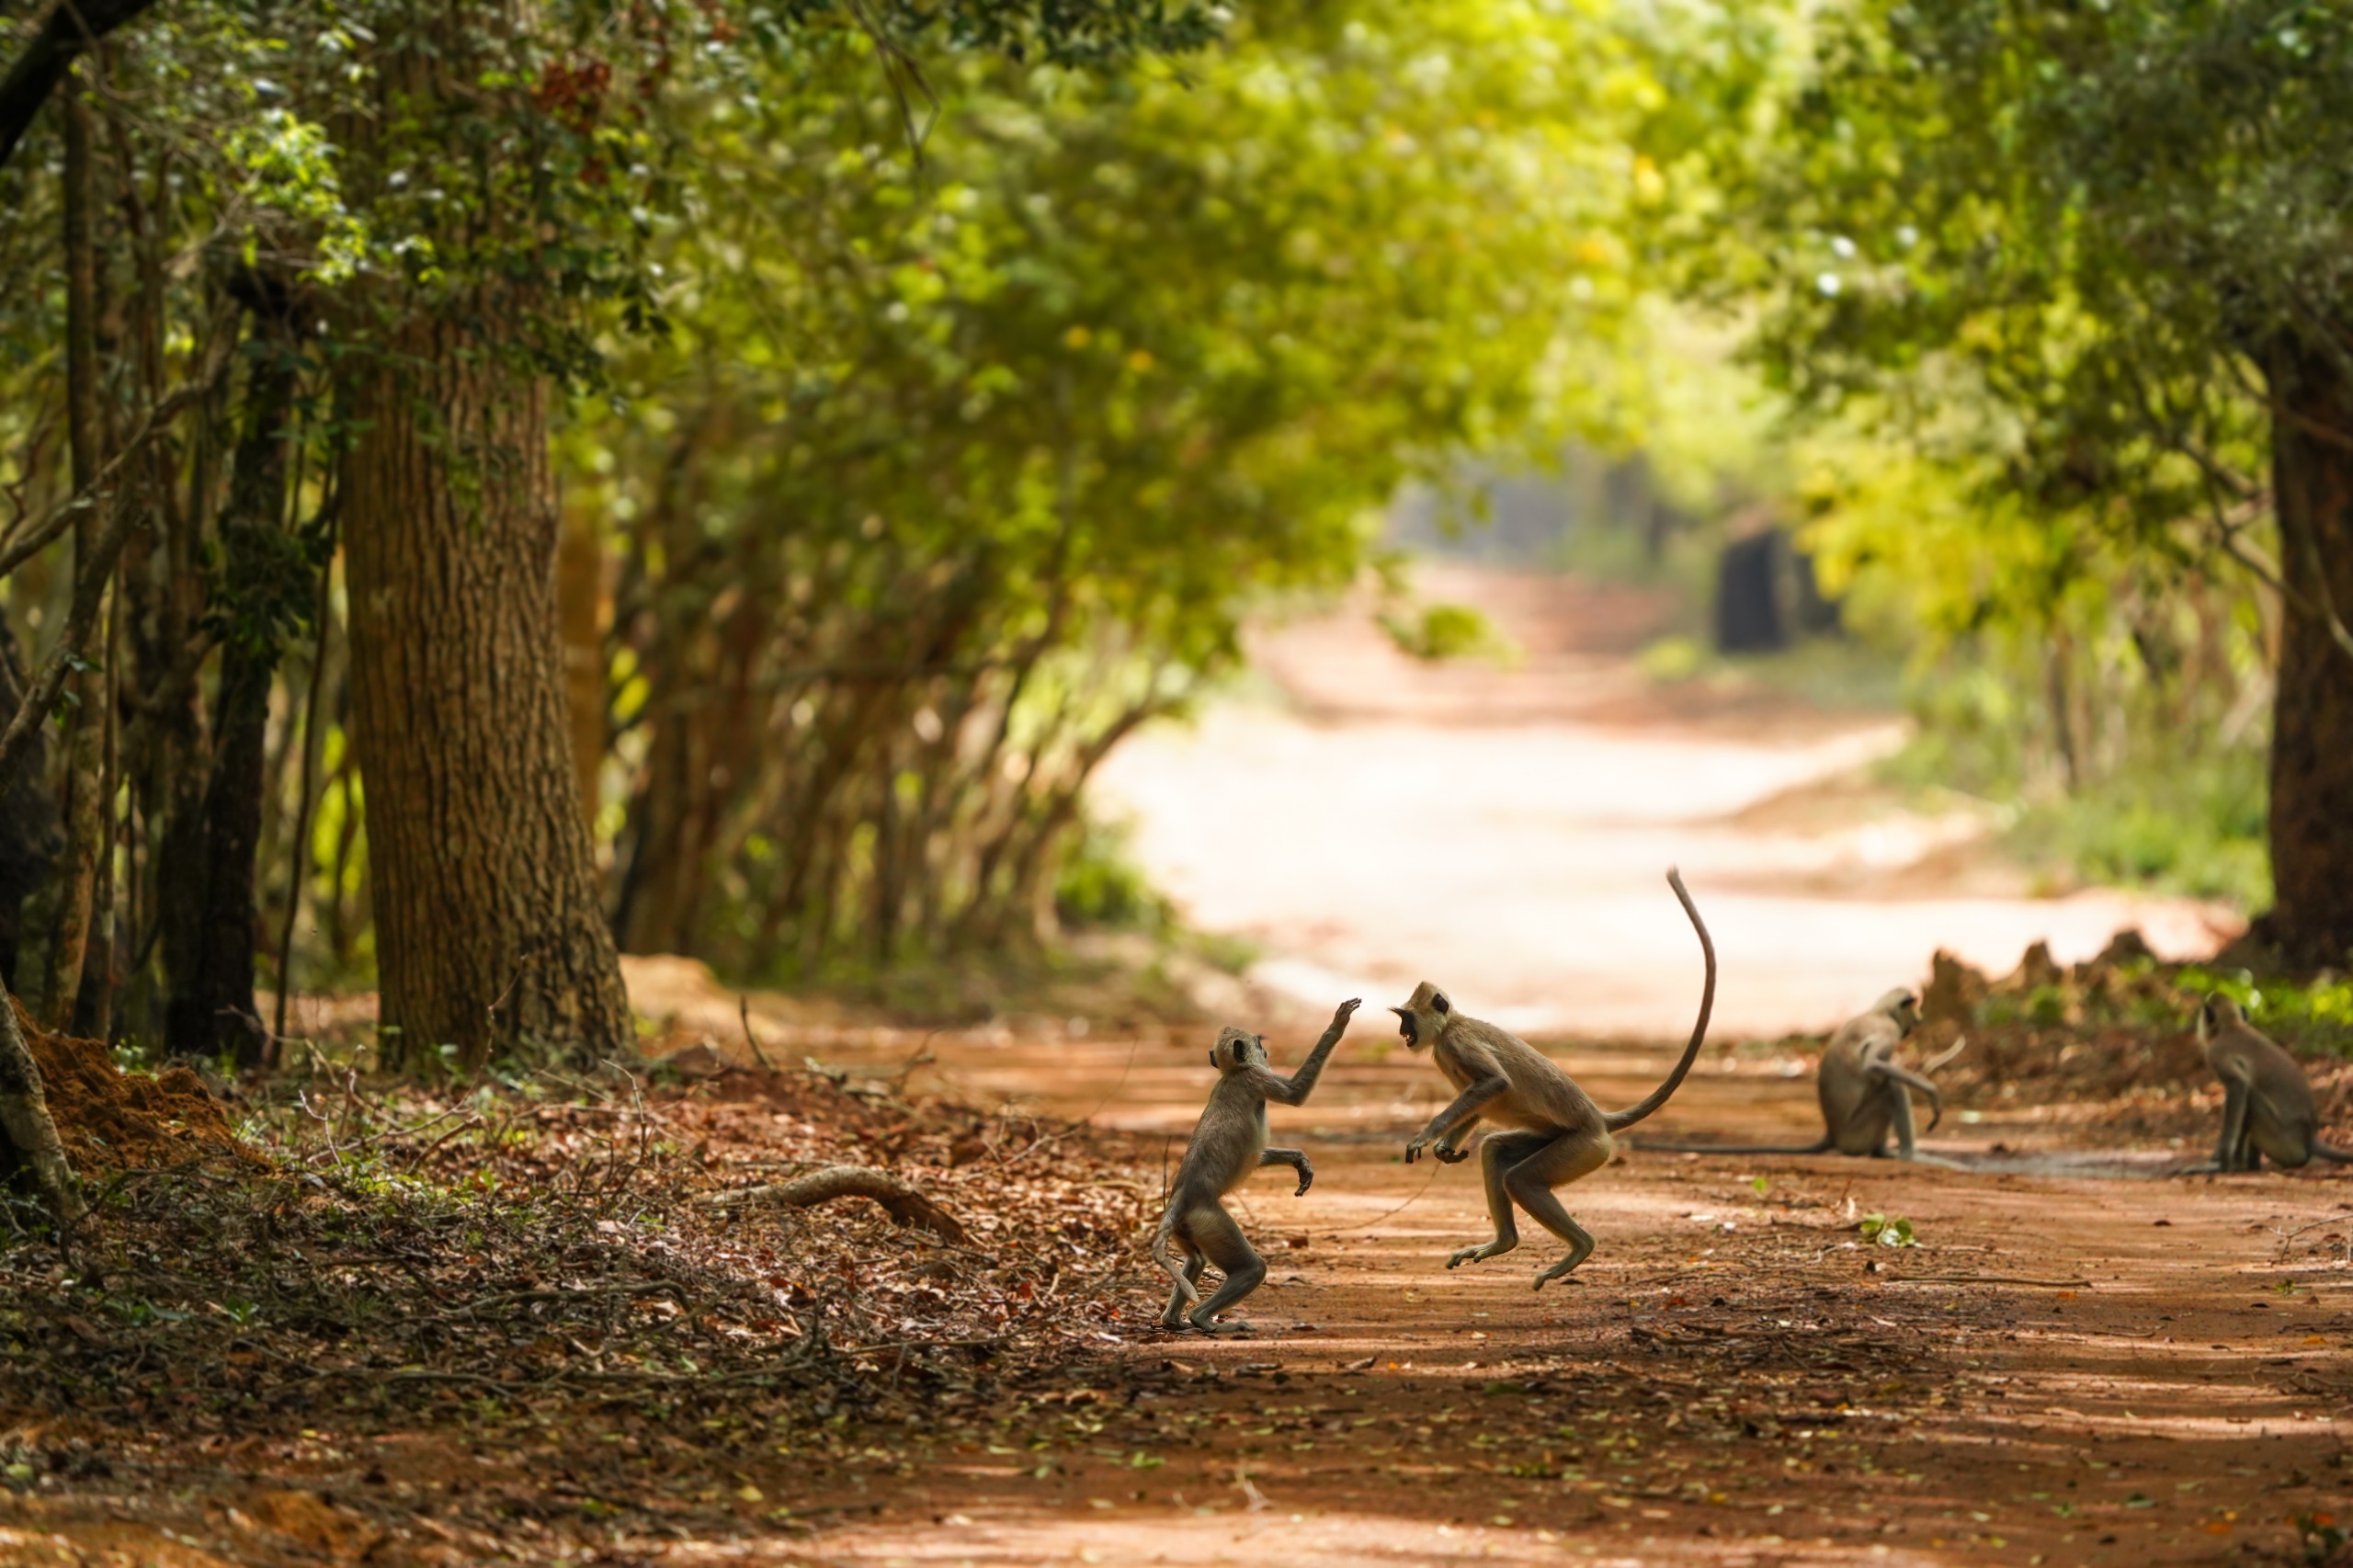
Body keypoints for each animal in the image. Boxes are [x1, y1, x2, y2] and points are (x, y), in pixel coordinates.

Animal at [1151, 998, 1360, 1333]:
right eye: (1259, 1043)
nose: (1266, 1050)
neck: (1233, 1073)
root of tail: (1182, 1193)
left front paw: (1298, 1160)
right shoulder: (1257, 1078)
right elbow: (1295, 1094)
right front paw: (1338, 1024)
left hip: (1187, 1229)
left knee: (1197, 1261)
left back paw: (1174, 1320)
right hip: (1208, 1219)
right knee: (1251, 1268)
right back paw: (1205, 1320)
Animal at [1392, 867, 1715, 1290]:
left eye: (1406, 1019)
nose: (1402, 1034)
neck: (1451, 1025)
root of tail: (1597, 1119)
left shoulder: (1457, 1043)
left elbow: (1494, 1084)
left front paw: (1427, 1136)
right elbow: (1477, 1099)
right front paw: (1446, 1146)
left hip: (1584, 1149)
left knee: (1521, 1180)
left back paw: (1579, 1248)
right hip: (1559, 1140)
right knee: (1495, 1149)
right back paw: (1505, 1242)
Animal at [1633, 988, 1965, 1162]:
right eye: (1914, 1013)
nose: (1919, 1021)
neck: (1878, 1011)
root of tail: (1832, 1133)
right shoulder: (1888, 1029)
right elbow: (1872, 1064)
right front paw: (1932, 1093)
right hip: (1858, 1132)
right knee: (1891, 1087)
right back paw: (1908, 1155)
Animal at [2181, 996, 2353, 1173]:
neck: (2232, 1027)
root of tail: (2309, 1137)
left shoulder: (2215, 1053)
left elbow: (2238, 1086)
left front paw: (2222, 1164)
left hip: (2281, 1140)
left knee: (2250, 1098)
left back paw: (2238, 1164)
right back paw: (2250, 1165)